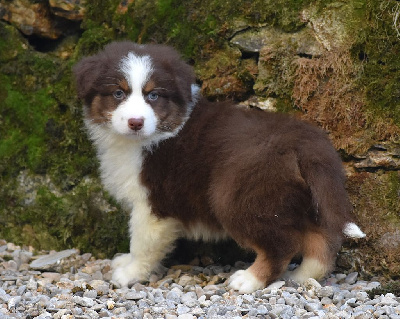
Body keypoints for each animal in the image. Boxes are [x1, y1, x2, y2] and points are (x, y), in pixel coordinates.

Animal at [73, 41, 364, 294]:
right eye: (118, 93)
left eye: (153, 95)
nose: (136, 122)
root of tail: (306, 143)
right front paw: (124, 262)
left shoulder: (153, 204)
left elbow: (142, 243)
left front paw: (130, 273)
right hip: (297, 198)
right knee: (321, 239)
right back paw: (302, 276)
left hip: (240, 197)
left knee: (283, 244)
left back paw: (248, 280)